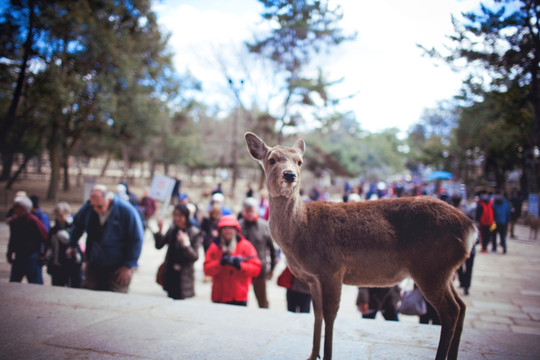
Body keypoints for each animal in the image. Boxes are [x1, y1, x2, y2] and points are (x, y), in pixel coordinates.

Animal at [245, 133, 476, 360]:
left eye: (299, 161)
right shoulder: (313, 278)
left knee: (450, 311)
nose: (290, 175)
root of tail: (470, 229)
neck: (300, 233)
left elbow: (330, 314)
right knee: (462, 306)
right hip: (444, 271)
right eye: (272, 159)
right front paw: (312, 355)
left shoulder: (332, 270)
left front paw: (326, 355)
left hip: (431, 268)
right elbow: (317, 313)